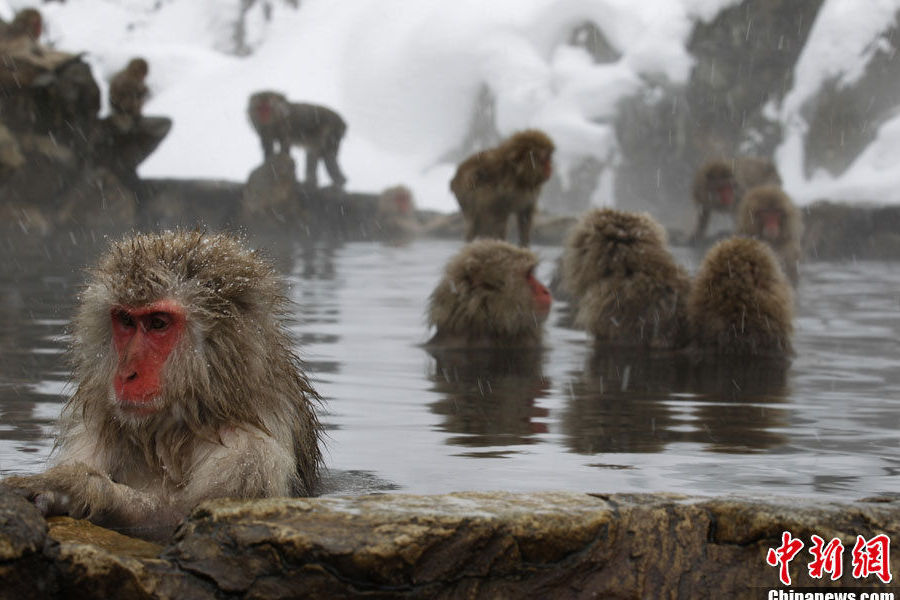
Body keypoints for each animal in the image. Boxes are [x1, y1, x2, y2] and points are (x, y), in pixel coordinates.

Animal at [0, 230, 320, 540]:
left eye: (158, 323)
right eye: (126, 320)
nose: (127, 373)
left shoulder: (251, 456)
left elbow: (185, 521)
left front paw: (77, 488)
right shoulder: (92, 428)